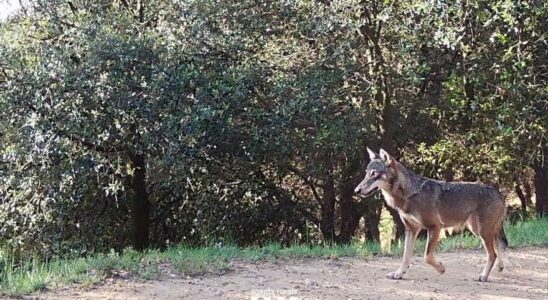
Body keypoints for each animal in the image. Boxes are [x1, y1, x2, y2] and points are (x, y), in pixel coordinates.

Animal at [356, 148, 506, 282]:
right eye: (366, 173)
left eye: (374, 173)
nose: (356, 190)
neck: (408, 194)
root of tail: (498, 192)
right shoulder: (411, 230)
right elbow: (405, 256)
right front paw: (399, 274)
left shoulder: (435, 226)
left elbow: (426, 256)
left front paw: (441, 268)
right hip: (479, 230)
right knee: (498, 245)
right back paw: (500, 267)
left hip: (481, 232)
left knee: (492, 254)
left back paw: (484, 276)